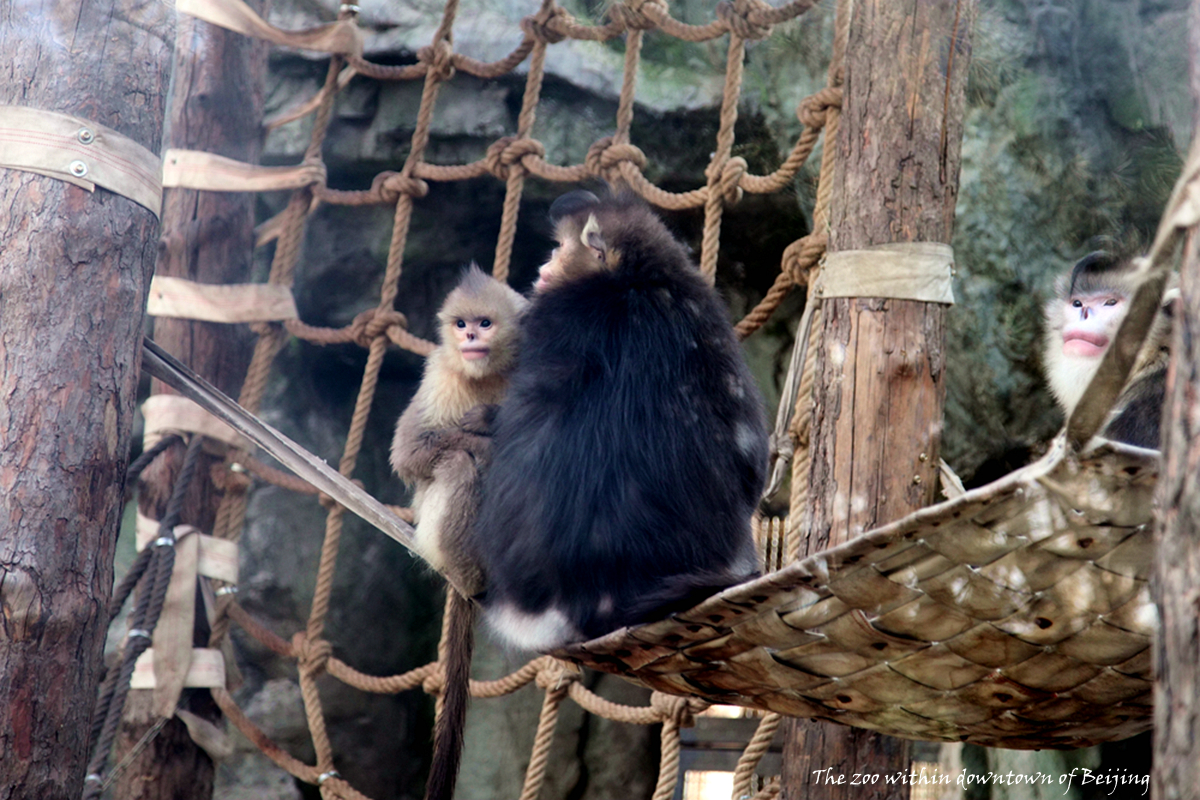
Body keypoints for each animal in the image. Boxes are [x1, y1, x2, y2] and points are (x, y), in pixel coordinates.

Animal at [389, 264, 526, 800]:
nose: (469, 337)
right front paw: (483, 435)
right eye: (462, 323)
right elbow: (411, 452)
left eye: (485, 323)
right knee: (458, 464)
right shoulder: (439, 375)